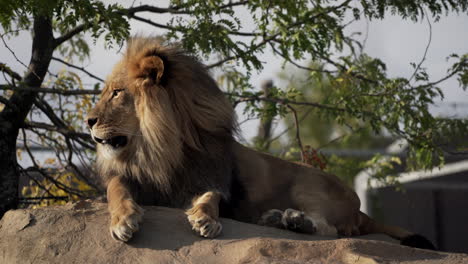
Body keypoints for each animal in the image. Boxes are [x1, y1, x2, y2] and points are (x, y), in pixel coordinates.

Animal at [86, 37, 436, 250]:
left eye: (116, 93)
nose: (88, 121)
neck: (156, 148)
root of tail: (358, 207)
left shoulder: (214, 180)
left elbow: (211, 197)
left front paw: (206, 219)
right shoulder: (131, 177)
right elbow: (116, 190)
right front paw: (124, 221)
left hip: (308, 184)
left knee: (329, 229)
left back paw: (293, 220)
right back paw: (277, 219)